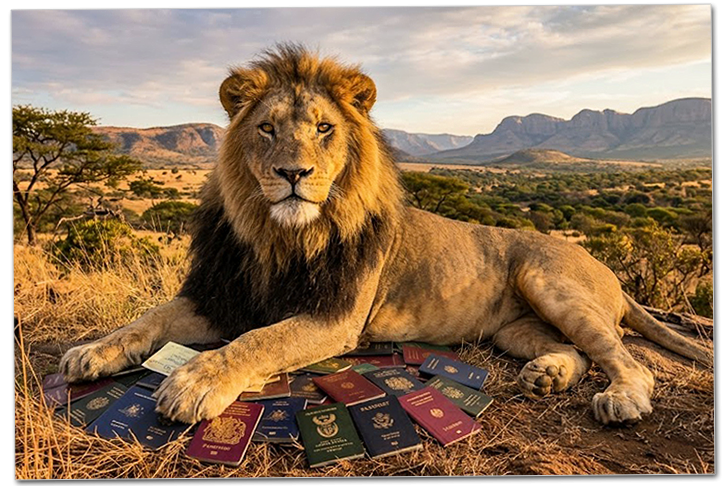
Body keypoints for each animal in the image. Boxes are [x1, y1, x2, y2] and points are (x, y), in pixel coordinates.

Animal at [60, 44, 712, 427]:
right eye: (267, 128)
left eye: (324, 128)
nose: (292, 174)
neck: (279, 237)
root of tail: (611, 274)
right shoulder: (223, 294)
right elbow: (149, 318)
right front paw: (92, 350)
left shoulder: (335, 317)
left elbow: (256, 342)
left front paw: (196, 381)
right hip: (517, 328)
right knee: (575, 350)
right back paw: (548, 374)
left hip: (548, 280)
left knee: (625, 357)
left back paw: (622, 399)